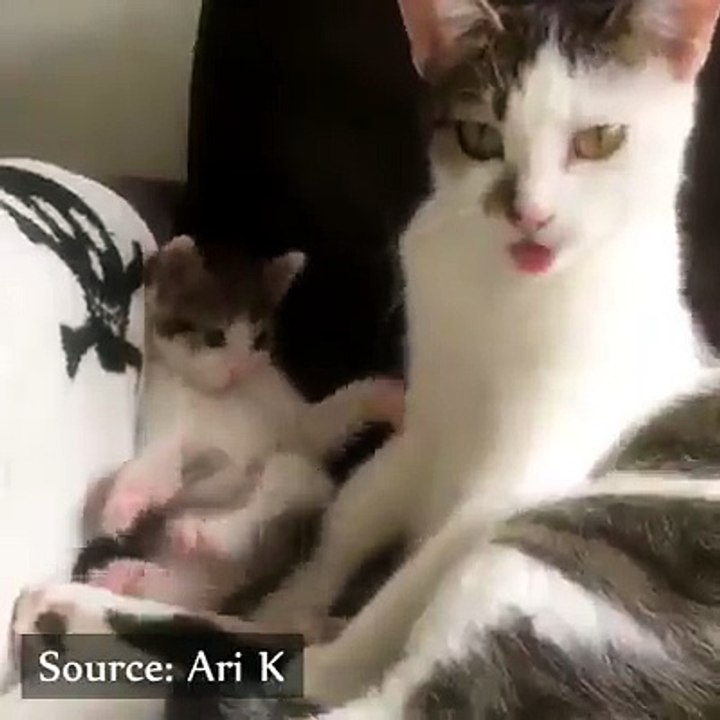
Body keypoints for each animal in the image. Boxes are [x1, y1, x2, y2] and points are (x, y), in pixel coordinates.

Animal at [85, 235, 404, 611]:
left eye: (260, 339)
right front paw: (126, 500)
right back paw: (155, 563)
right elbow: (163, 462)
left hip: (301, 483)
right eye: (214, 337)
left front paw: (384, 396)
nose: (238, 369)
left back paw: (200, 541)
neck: (223, 396)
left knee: (276, 486)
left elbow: (322, 424)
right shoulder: (166, 414)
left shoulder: (290, 419)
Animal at [242, 0, 720, 709]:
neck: (503, 304)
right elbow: (357, 510)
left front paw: (327, 645)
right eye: (479, 137)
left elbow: (411, 579)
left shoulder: (519, 478)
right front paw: (284, 603)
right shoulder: (426, 415)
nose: (531, 216)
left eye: (599, 141)